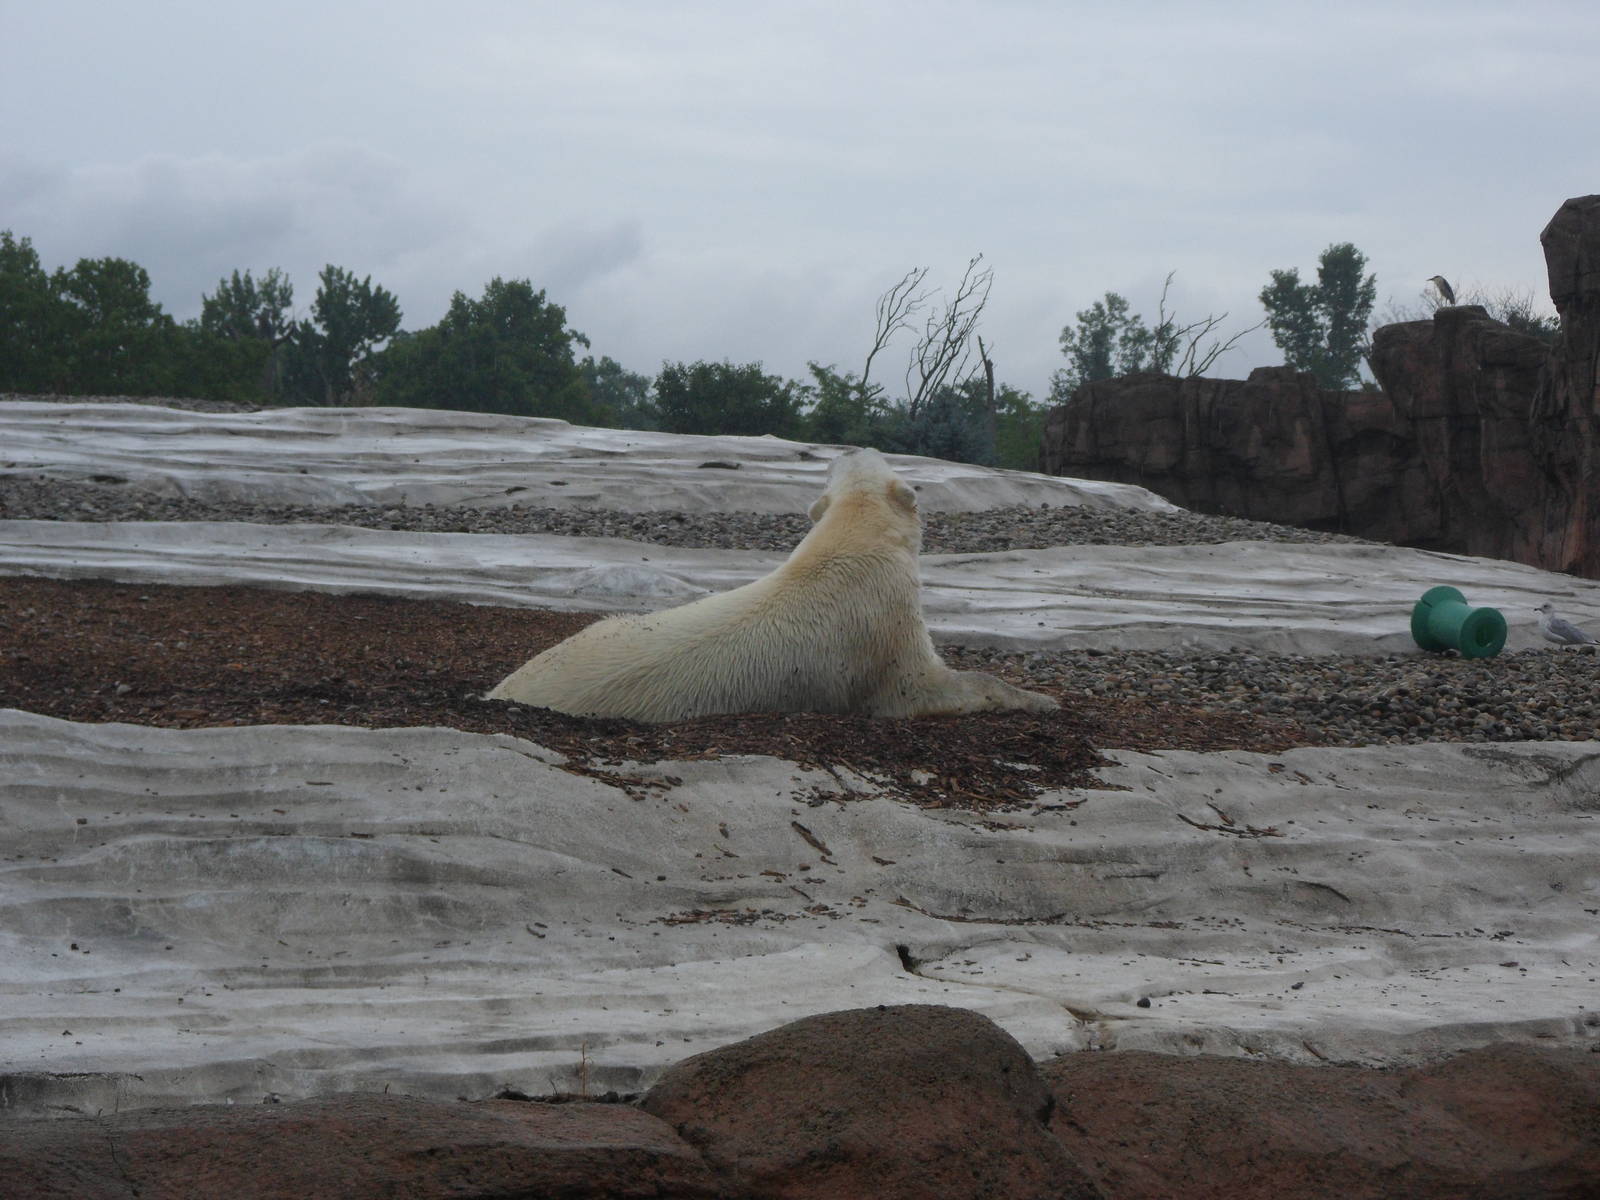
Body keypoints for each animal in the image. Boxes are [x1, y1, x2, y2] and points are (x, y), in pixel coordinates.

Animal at [487, 447, 1058, 723]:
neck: (850, 542)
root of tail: (498, 692)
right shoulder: (885, 630)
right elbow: (926, 687)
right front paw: (1037, 698)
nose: (850, 444)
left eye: (841, 463)